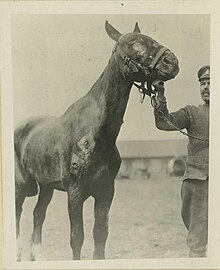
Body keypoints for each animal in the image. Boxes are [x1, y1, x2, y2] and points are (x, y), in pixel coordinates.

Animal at [13, 20, 180, 260]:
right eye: (133, 43)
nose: (172, 62)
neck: (94, 134)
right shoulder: (75, 193)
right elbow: (77, 238)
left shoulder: (106, 192)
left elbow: (100, 235)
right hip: (20, 185)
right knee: (17, 215)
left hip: (46, 186)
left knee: (38, 214)